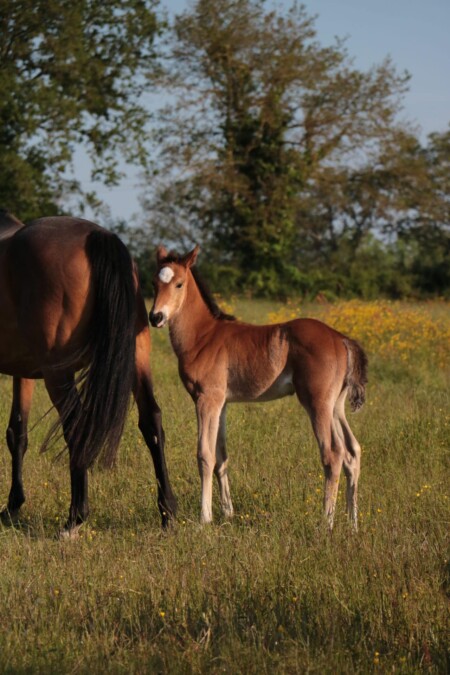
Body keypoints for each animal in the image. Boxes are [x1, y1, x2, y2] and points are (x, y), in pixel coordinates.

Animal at [0, 210, 177, 536]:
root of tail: (99, 237)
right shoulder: (23, 370)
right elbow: (17, 432)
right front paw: (13, 506)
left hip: (59, 375)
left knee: (77, 427)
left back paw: (75, 518)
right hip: (137, 357)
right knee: (152, 421)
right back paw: (168, 513)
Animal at [149, 245, 368, 530]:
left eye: (178, 284)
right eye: (154, 284)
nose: (156, 317)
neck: (203, 336)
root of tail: (341, 339)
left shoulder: (206, 399)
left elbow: (205, 455)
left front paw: (204, 518)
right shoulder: (222, 403)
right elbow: (221, 456)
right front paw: (227, 514)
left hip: (317, 403)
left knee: (333, 454)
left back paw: (326, 524)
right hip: (336, 406)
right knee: (352, 452)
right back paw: (352, 525)